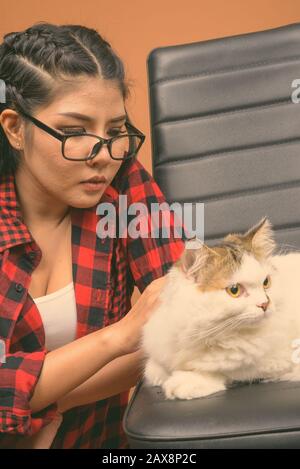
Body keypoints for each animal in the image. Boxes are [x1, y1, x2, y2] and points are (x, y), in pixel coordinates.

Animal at [141, 216, 300, 398]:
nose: (265, 304)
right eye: (234, 290)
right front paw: (160, 375)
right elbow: (152, 368)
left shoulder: (276, 358)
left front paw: (187, 381)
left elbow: (225, 369)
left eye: (266, 282)